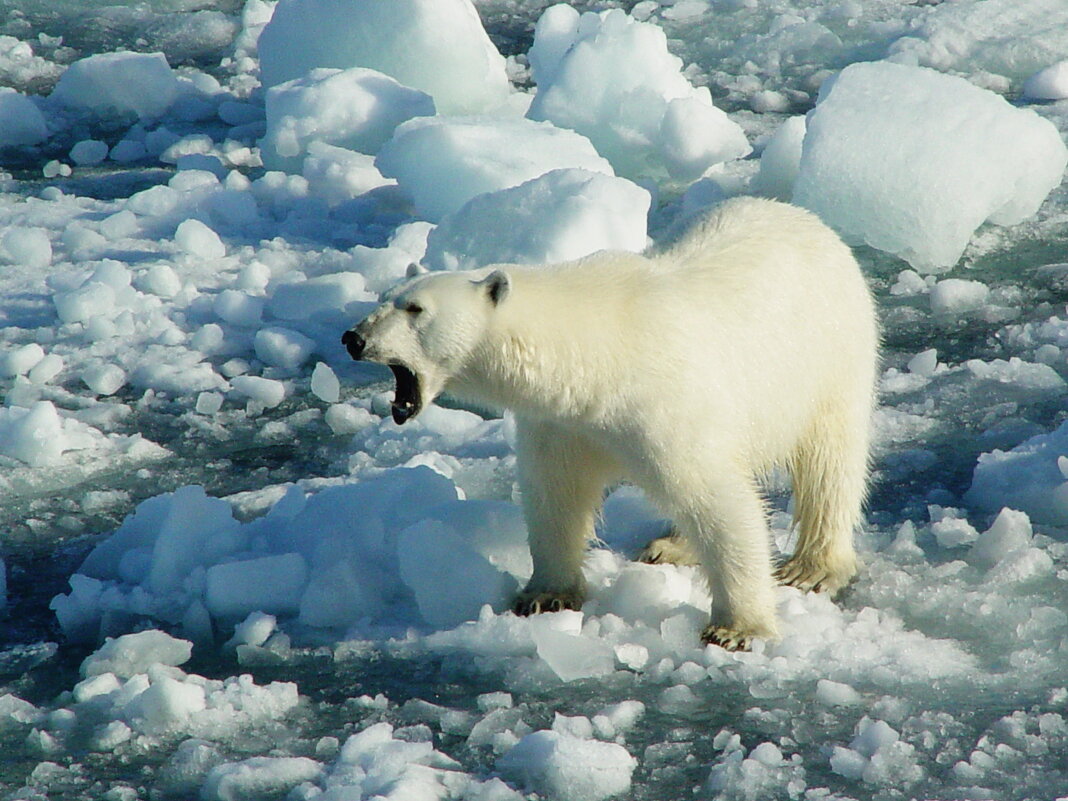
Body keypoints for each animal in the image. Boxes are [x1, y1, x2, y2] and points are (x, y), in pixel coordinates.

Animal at [341, 196, 875, 653]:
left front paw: (737, 629)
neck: (595, 361)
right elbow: (555, 494)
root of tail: (809, 219)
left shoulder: (667, 406)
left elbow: (718, 500)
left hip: (830, 355)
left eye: (416, 309)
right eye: (385, 298)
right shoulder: (562, 423)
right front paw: (545, 595)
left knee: (830, 461)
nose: (353, 338)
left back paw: (812, 567)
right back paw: (669, 546)